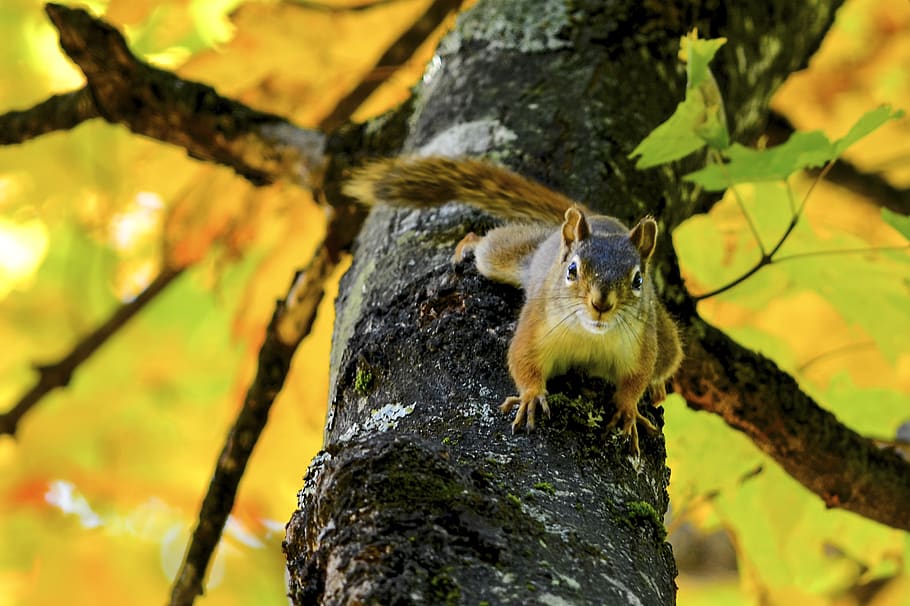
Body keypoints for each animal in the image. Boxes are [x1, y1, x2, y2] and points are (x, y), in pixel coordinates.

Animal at [343, 156, 683, 456]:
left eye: (638, 280)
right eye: (572, 270)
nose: (601, 303)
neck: (590, 335)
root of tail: (602, 220)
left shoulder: (641, 344)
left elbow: (636, 378)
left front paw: (628, 409)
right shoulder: (537, 323)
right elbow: (522, 358)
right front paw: (531, 395)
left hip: (665, 338)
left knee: (666, 360)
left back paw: (658, 386)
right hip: (507, 255)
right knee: (488, 245)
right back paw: (468, 243)